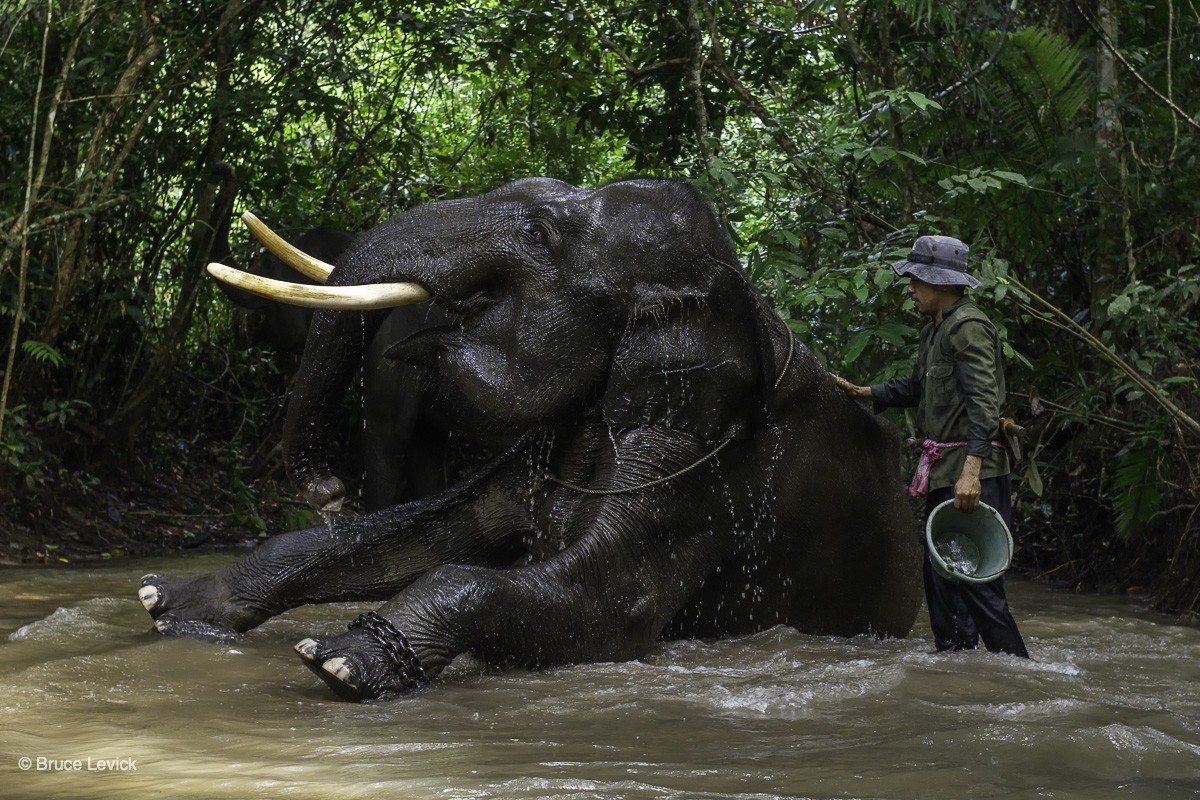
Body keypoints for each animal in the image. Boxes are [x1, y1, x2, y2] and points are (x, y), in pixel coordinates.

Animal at [142, 179, 926, 700]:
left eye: (541, 236)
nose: (325, 487)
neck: (733, 286)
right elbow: (444, 531)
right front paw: (166, 602)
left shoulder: (700, 466)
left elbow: (607, 606)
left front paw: (339, 658)